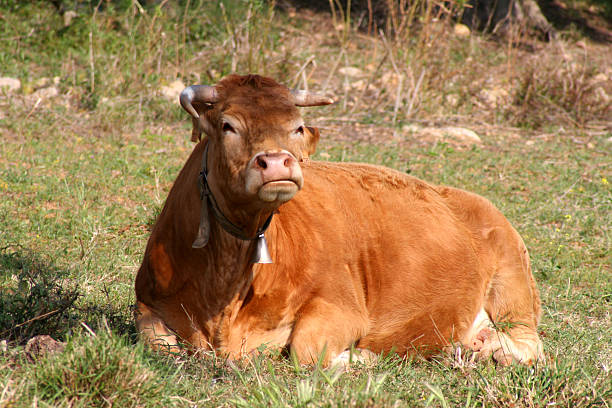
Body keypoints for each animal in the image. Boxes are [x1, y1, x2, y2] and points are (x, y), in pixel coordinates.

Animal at [133, 73, 540, 366]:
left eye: (297, 127)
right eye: (227, 125)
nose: (277, 162)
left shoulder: (340, 304)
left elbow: (307, 351)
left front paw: (362, 358)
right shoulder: (147, 303)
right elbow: (156, 343)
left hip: (514, 284)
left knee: (531, 343)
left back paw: (492, 350)